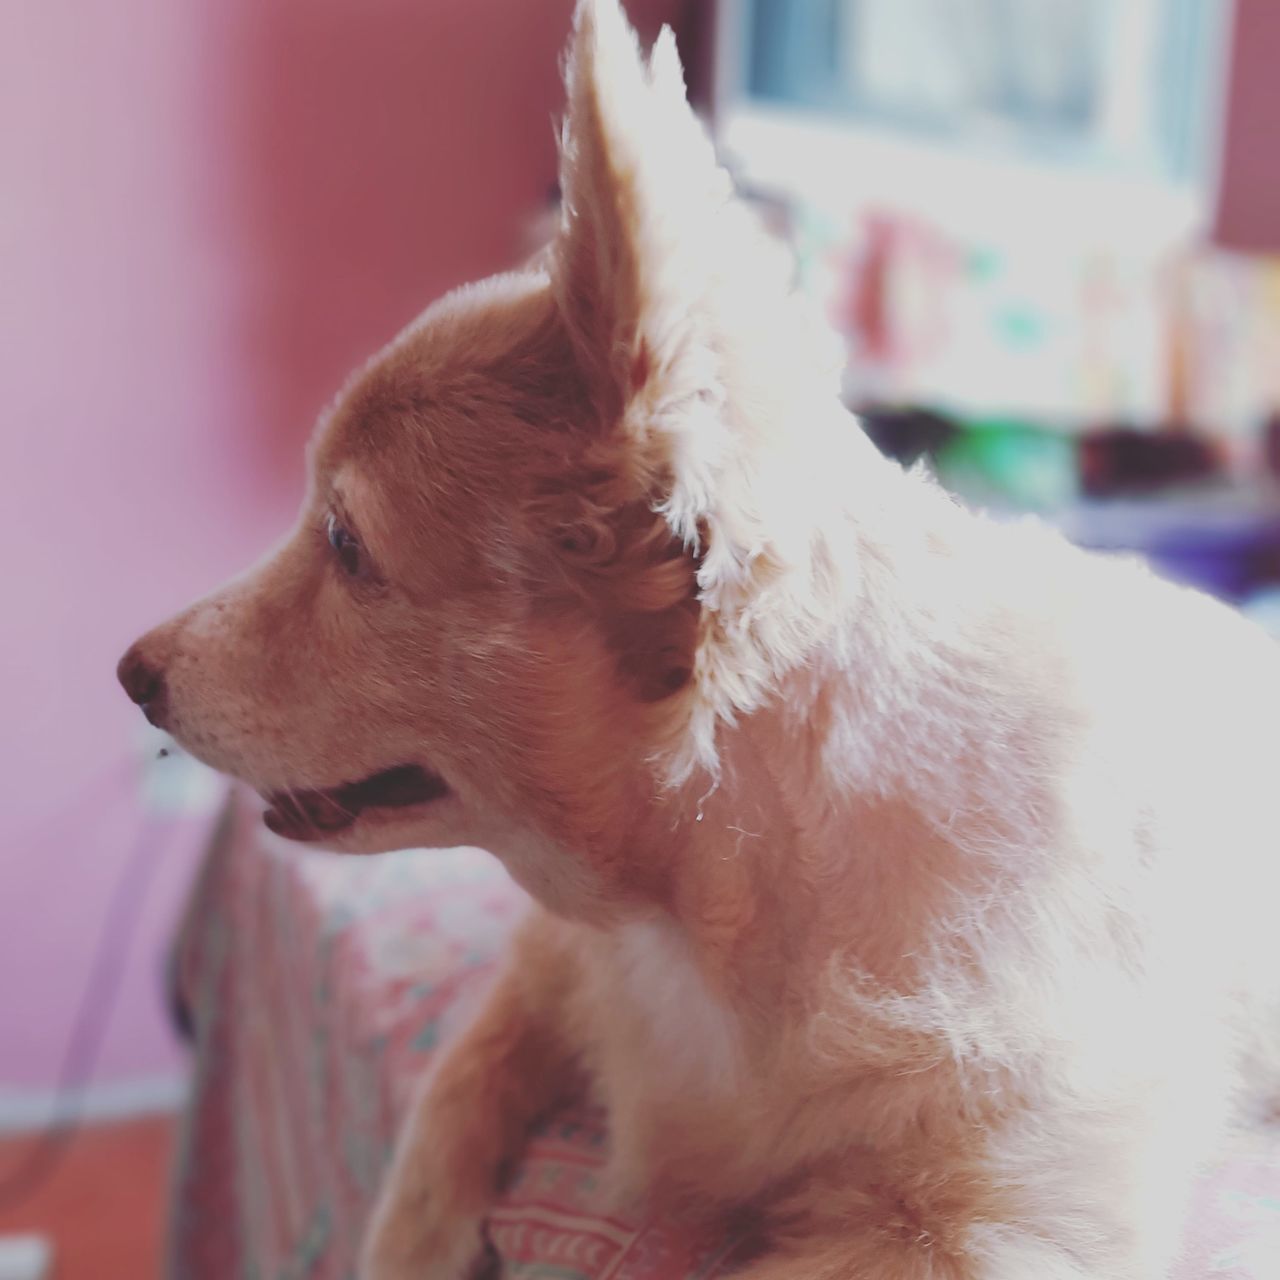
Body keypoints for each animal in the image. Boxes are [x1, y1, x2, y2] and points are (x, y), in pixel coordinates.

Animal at [120, 5, 1280, 1274]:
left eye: (343, 541)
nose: (130, 674)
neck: (706, 905)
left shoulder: (977, 1218)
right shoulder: (554, 961)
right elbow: (451, 1090)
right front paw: (412, 1236)